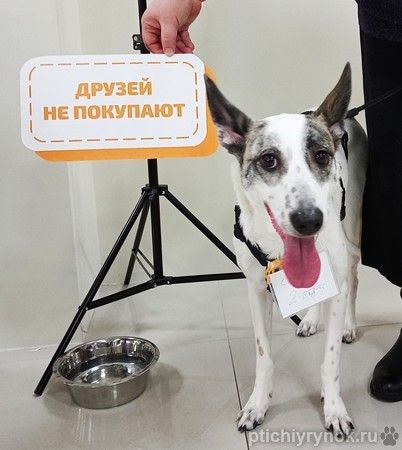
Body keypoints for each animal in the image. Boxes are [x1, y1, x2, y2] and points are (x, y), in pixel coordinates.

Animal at [205, 63, 368, 437]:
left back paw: (349, 325)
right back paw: (309, 319)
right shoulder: (255, 288)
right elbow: (263, 356)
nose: (309, 221)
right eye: (268, 160)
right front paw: (257, 404)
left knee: (352, 281)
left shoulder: (336, 269)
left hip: (353, 226)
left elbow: (331, 360)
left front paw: (333, 406)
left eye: (321, 156)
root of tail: (346, 119)